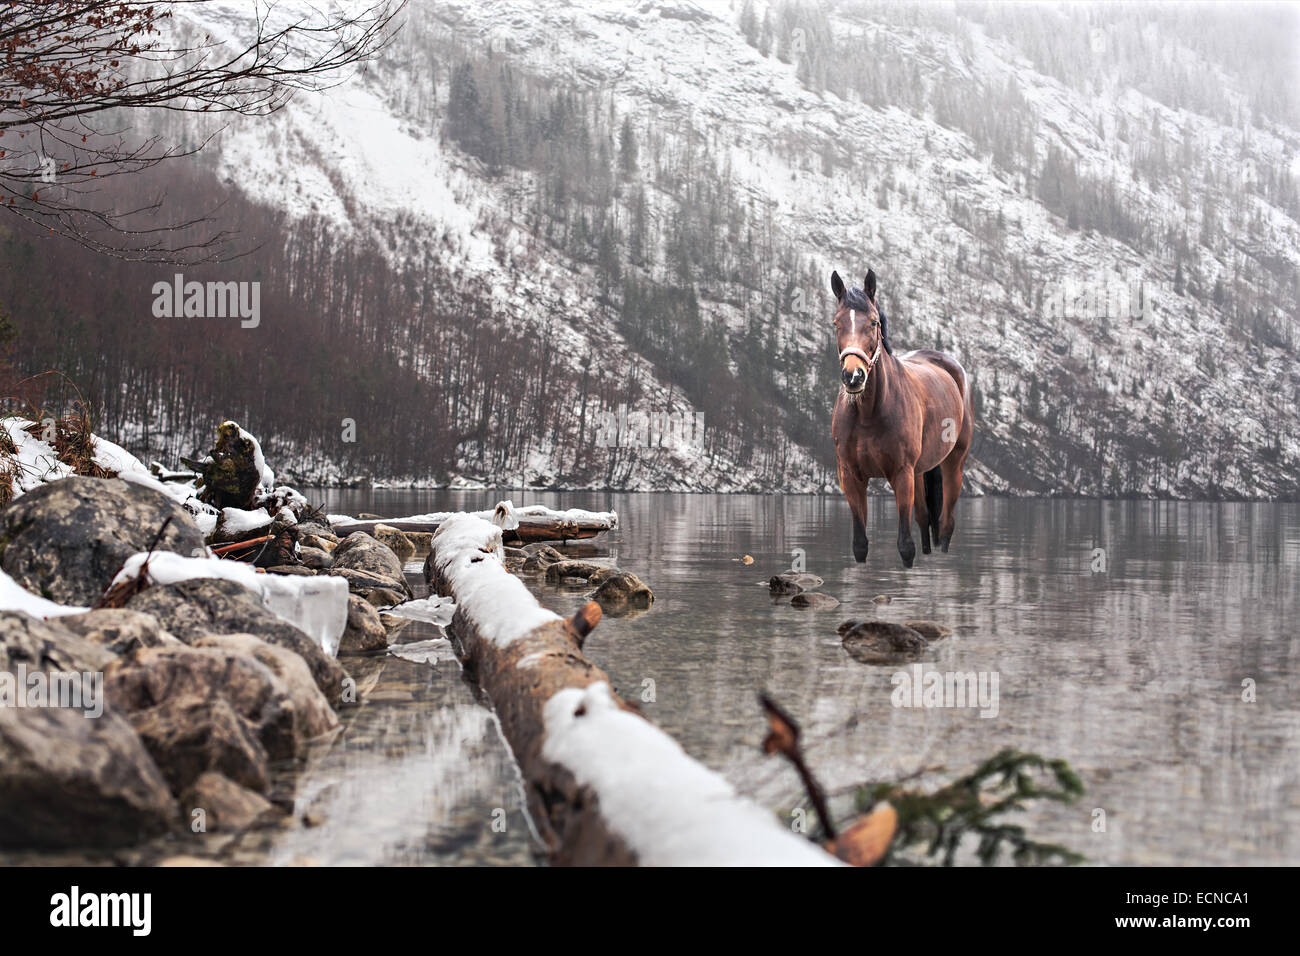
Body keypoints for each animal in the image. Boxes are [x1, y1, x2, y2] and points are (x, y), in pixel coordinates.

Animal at [832, 269, 977, 567]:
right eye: (836, 323)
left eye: (873, 322)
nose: (853, 376)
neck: (869, 414)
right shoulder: (850, 475)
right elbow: (860, 545)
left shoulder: (902, 473)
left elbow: (905, 546)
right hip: (920, 471)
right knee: (924, 520)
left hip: (953, 464)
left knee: (946, 523)